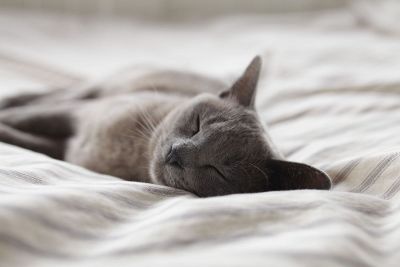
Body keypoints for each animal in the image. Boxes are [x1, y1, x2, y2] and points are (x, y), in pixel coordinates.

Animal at [0, 56, 332, 198]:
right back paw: (11, 97)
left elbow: (26, 138)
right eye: (196, 125)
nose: (176, 154)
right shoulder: (78, 114)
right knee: (50, 95)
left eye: (217, 170)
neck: (133, 155)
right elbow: (27, 118)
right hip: (95, 90)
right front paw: (6, 117)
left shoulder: (66, 148)